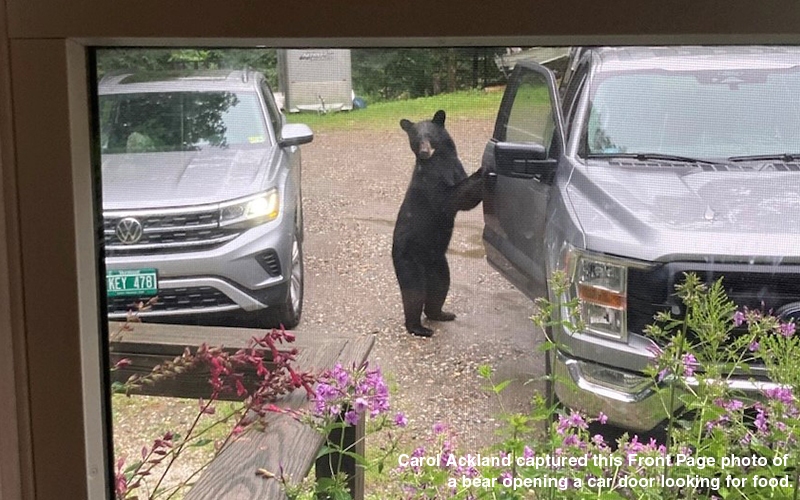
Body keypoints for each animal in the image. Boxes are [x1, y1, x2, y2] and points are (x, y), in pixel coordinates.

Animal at [392, 109, 482, 336]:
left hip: (440, 264)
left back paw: (441, 314)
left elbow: (467, 200)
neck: (440, 160)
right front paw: (482, 172)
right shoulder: (430, 181)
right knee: (414, 294)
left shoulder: (455, 167)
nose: (424, 152)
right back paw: (419, 328)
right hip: (409, 261)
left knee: (440, 287)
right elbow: (450, 200)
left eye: (430, 136)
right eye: (416, 139)